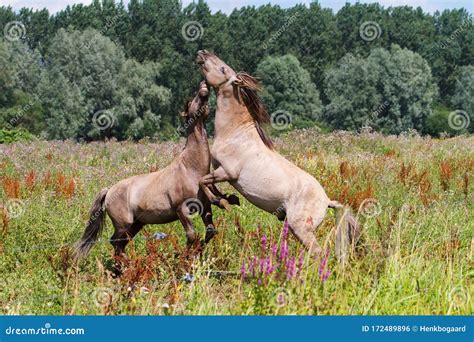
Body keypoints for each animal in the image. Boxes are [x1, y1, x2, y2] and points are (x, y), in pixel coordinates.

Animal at [74, 82, 237, 260]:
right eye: (192, 100)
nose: (204, 86)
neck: (191, 169)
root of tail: (109, 190)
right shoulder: (182, 210)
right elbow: (191, 235)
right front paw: (183, 258)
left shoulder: (205, 208)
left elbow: (210, 232)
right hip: (124, 224)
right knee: (115, 242)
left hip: (137, 224)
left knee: (120, 244)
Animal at [196, 50, 360, 260]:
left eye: (223, 68)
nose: (202, 53)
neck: (235, 134)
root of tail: (327, 202)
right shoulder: (218, 170)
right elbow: (209, 183)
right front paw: (227, 198)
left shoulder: (227, 172)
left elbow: (202, 181)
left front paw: (222, 202)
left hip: (301, 230)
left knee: (318, 253)